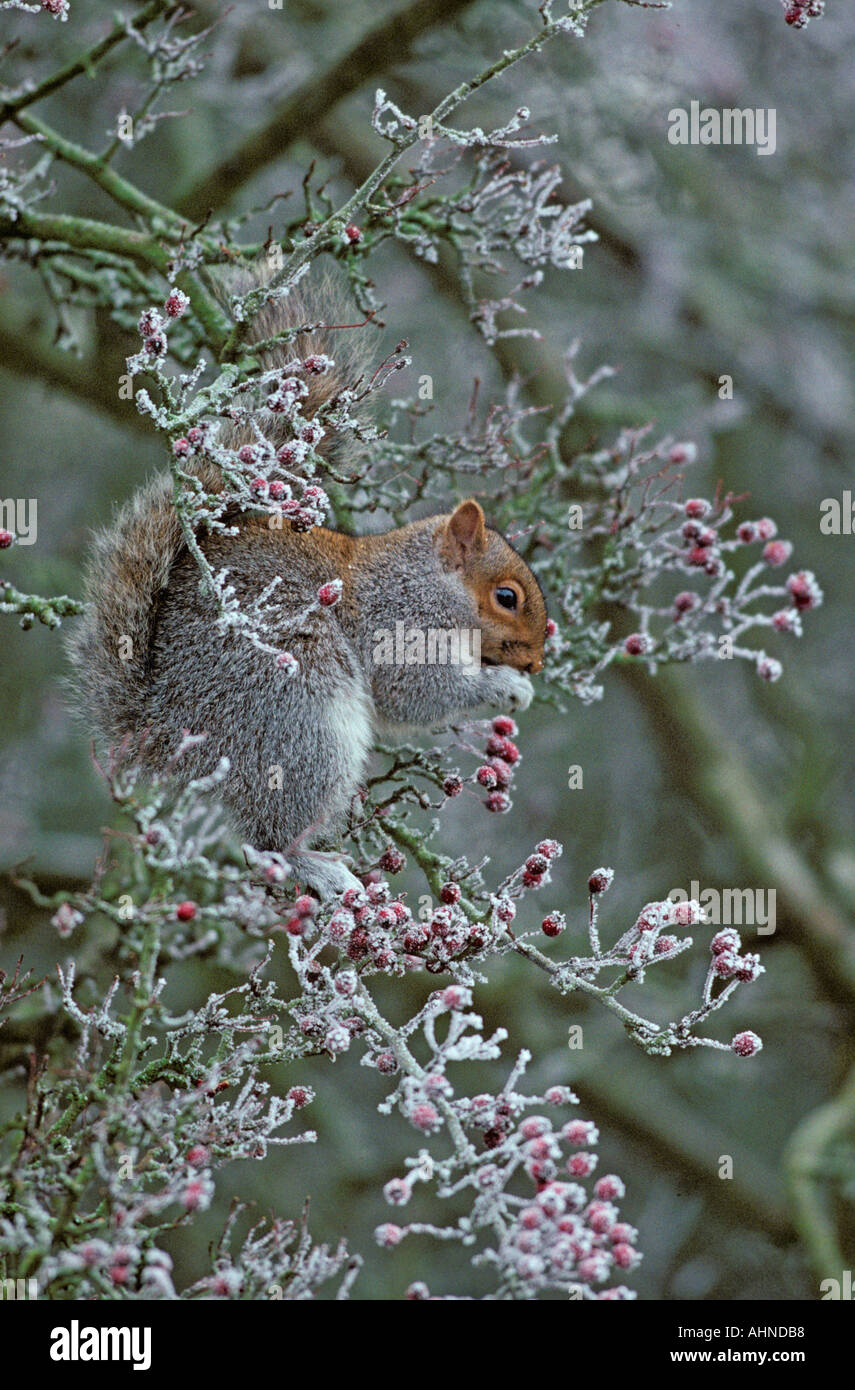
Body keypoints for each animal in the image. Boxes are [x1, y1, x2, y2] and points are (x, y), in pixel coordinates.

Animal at [68, 269, 548, 898]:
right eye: (507, 597)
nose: (538, 661)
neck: (425, 579)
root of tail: (158, 734)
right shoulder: (401, 623)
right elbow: (419, 692)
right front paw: (505, 688)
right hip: (299, 730)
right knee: (262, 839)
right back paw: (312, 865)